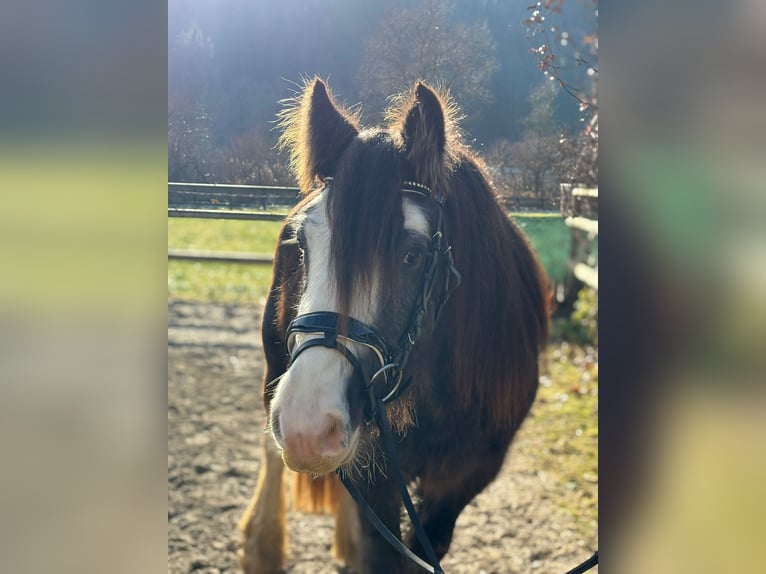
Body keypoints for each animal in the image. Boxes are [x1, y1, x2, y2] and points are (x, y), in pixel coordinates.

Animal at [238, 78, 549, 574]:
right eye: (302, 245)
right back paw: (262, 545)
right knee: (271, 448)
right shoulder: (378, 478)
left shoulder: (466, 478)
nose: (309, 427)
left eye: (412, 255)